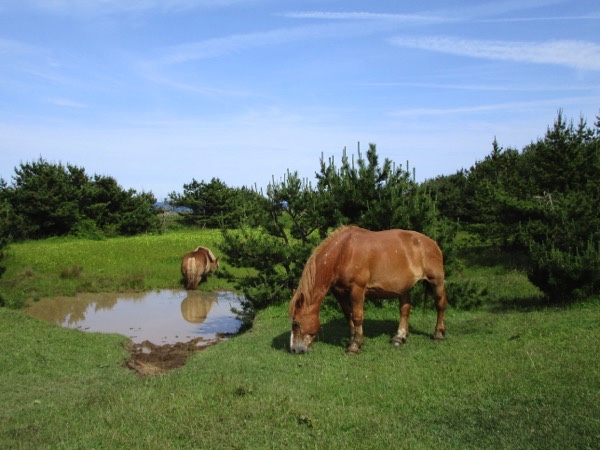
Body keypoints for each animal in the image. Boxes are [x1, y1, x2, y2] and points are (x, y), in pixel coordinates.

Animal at [288, 227, 448, 354]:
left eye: (295, 323)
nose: (295, 349)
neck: (344, 252)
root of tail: (432, 243)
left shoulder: (357, 289)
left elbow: (357, 316)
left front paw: (355, 345)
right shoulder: (340, 293)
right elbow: (348, 315)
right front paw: (352, 339)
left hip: (436, 281)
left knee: (440, 305)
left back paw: (438, 333)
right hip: (403, 288)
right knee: (405, 309)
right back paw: (399, 337)